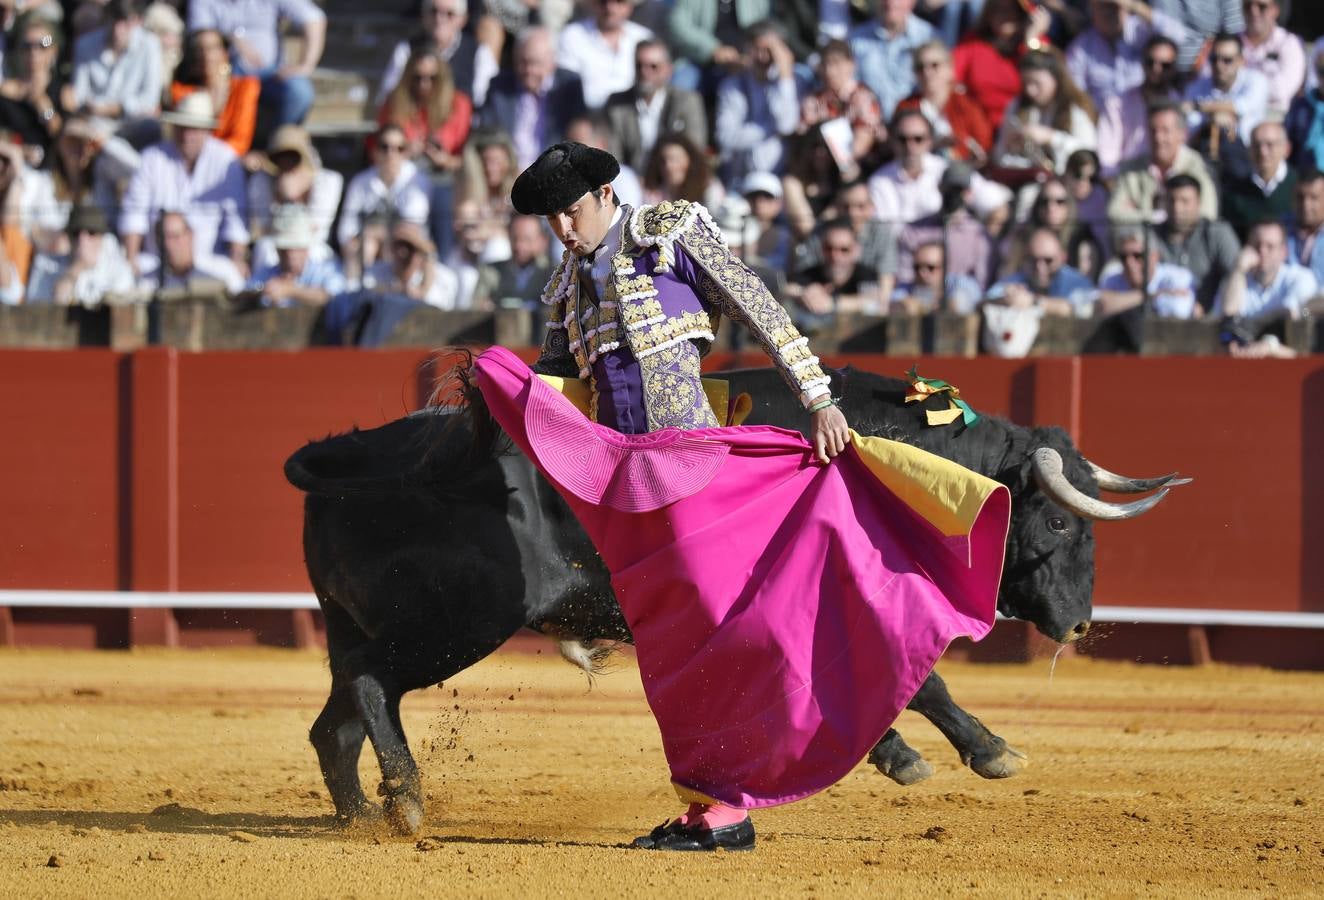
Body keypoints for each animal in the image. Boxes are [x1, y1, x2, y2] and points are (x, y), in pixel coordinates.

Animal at [284, 362, 1186, 831]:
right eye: (1064, 525)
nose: (1080, 624)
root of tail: (362, 453)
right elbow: (916, 680)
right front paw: (977, 751)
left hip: (365, 627)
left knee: (334, 722)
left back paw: (360, 815)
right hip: (458, 621)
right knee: (373, 687)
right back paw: (407, 804)